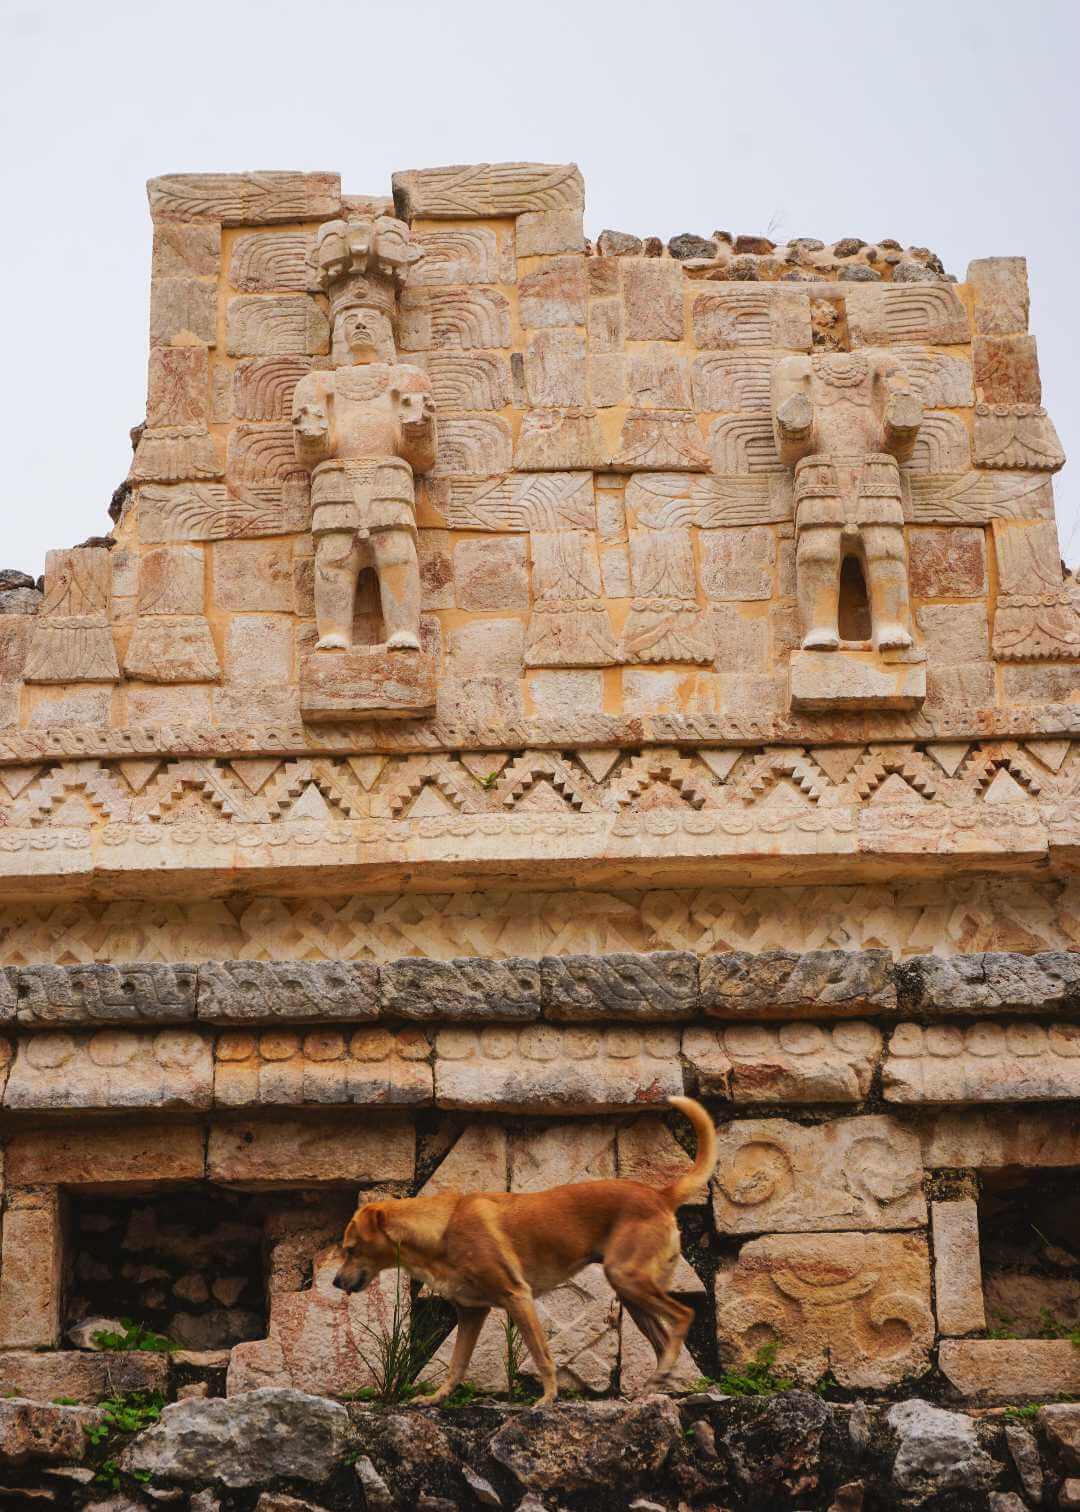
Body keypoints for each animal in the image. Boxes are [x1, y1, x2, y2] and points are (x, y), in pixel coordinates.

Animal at [332, 1100, 710, 1403]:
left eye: (350, 1250)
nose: (335, 1282)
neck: (441, 1229)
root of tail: (660, 1194)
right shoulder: (471, 1313)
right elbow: (456, 1365)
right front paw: (436, 1399)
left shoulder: (517, 1296)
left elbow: (542, 1355)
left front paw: (548, 1399)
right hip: (631, 1292)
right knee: (664, 1341)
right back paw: (659, 1384)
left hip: (627, 1278)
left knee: (684, 1315)